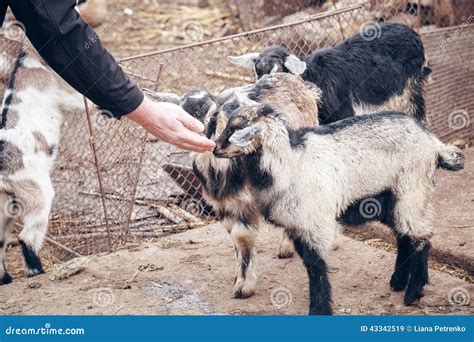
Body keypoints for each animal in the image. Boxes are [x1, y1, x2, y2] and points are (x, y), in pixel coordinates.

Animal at [0, 38, 80, 284]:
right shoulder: (68, 94)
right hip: (38, 195)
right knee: (26, 237)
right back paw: (37, 272)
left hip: (4, 209)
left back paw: (6, 279)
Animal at [214, 105, 462, 316]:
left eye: (235, 129)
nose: (215, 148)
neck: (290, 163)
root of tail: (433, 141)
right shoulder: (297, 226)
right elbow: (310, 263)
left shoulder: (314, 223)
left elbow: (316, 266)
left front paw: (320, 309)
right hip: (389, 200)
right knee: (405, 236)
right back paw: (399, 281)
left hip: (411, 190)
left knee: (421, 237)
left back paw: (412, 292)